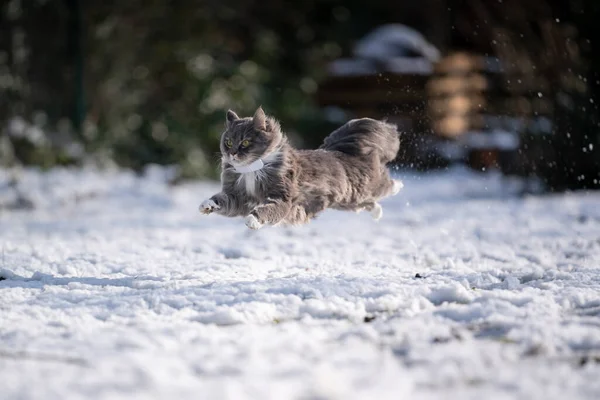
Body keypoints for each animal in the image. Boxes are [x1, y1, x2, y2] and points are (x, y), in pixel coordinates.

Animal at [200, 108, 404, 230]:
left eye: (245, 142)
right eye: (228, 142)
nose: (232, 153)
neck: (251, 171)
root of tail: (341, 149)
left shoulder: (281, 198)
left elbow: (266, 210)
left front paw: (252, 220)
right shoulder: (238, 198)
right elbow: (222, 200)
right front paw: (207, 205)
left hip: (364, 188)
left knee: (386, 184)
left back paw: (398, 186)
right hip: (347, 201)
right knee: (369, 203)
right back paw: (377, 213)